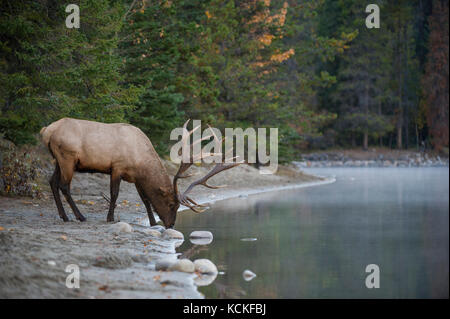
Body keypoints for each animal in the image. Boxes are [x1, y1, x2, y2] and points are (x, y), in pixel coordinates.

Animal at [40, 119, 241, 229]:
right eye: (171, 204)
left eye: (177, 206)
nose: (171, 224)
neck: (140, 161)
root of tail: (46, 131)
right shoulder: (117, 167)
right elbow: (115, 194)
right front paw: (110, 218)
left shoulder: (136, 177)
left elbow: (145, 199)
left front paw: (152, 222)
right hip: (67, 157)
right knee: (63, 185)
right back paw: (79, 216)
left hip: (58, 159)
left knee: (52, 182)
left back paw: (64, 216)